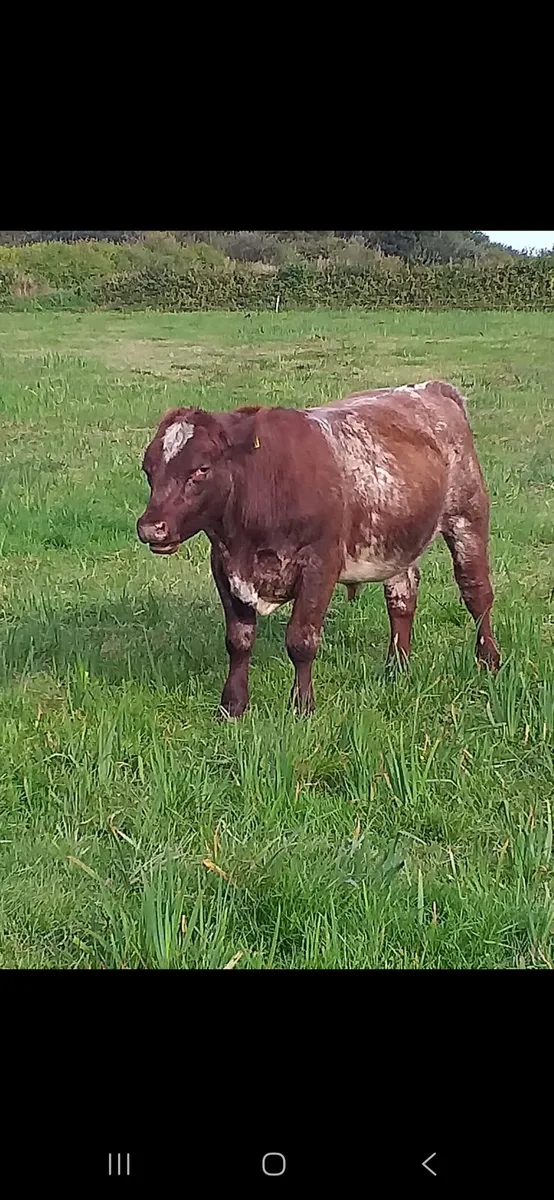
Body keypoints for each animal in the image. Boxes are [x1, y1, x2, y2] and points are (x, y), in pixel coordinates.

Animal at [137, 381, 500, 717]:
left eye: (201, 468)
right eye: (148, 469)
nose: (151, 527)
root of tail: (431, 388)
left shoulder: (320, 564)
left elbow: (301, 640)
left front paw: (302, 707)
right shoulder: (224, 565)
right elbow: (238, 640)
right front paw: (233, 706)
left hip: (467, 516)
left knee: (477, 594)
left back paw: (489, 661)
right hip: (398, 540)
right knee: (402, 599)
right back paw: (397, 668)